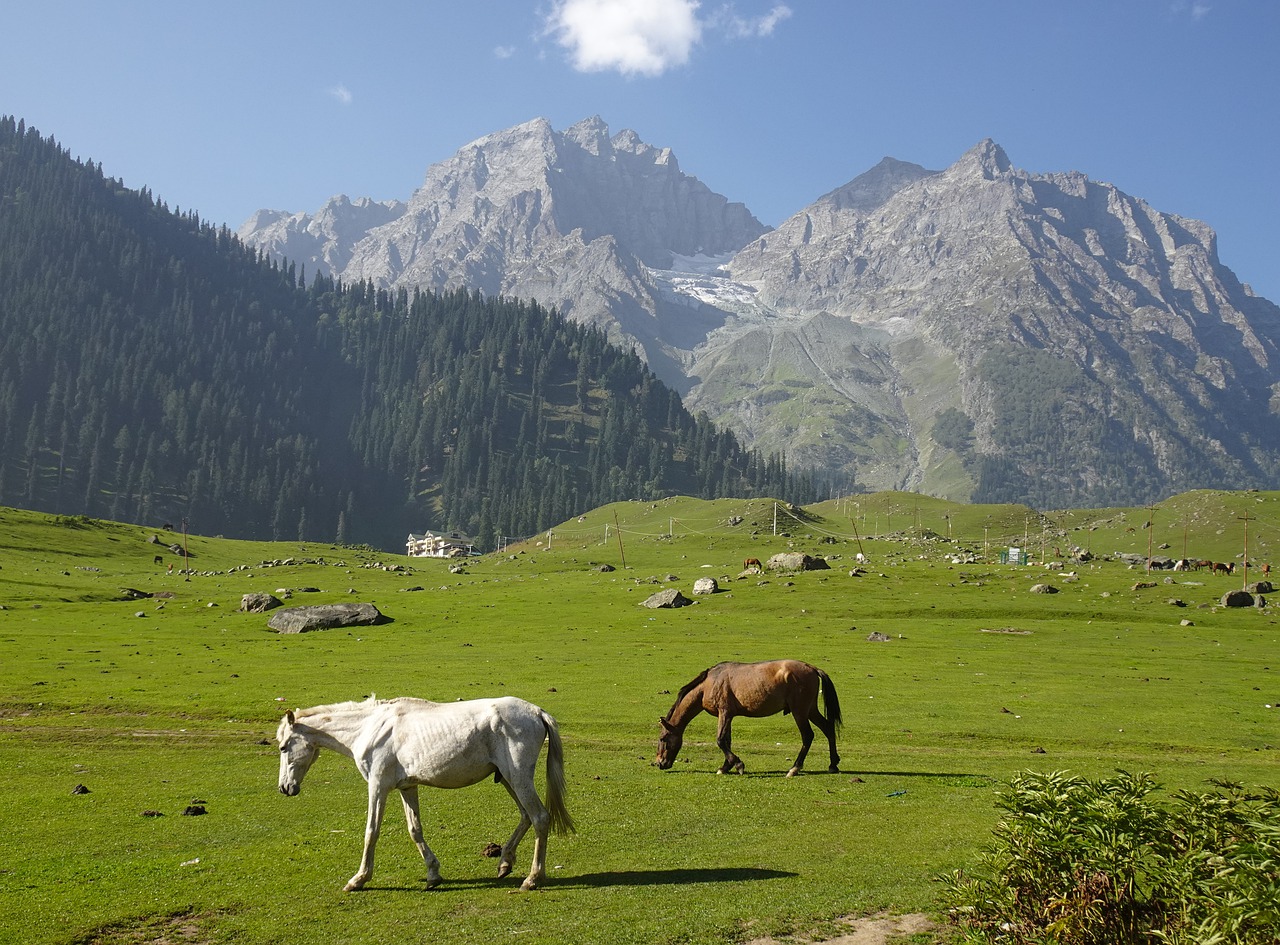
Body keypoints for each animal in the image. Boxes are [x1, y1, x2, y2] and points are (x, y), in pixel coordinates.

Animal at [277, 691, 573, 891]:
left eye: (283, 747)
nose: (284, 788)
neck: (369, 728)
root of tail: (537, 712)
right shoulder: (407, 787)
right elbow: (415, 830)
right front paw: (433, 875)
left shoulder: (378, 786)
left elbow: (371, 832)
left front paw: (358, 879)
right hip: (508, 779)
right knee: (526, 816)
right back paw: (505, 863)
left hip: (518, 778)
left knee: (539, 818)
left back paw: (532, 878)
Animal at [655, 660, 844, 778]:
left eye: (663, 739)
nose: (658, 763)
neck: (709, 684)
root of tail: (811, 668)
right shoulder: (728, 716)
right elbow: (727, 741)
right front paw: (725, 767)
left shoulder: (724, 713)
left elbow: (720, 740)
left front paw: (738, 765)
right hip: (810, 710)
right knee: (828, 728)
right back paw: (833, 765)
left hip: (800, 712)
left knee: (808, 736)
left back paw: (794, 769)